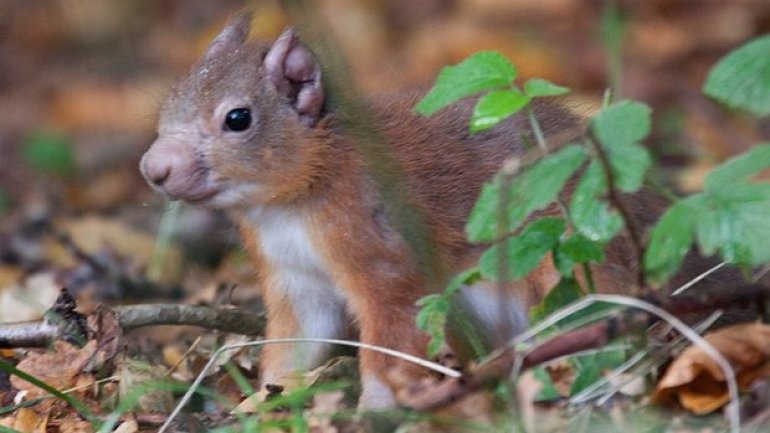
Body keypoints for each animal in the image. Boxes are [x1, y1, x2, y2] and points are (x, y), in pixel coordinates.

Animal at [141, 15, 640, 406]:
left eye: (238, 118)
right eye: (170, 100)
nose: (154, 168)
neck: (288, 206)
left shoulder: (385, 256)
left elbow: (390, 342)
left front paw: (376, 406)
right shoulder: (296, 282)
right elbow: (293, 346)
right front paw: (262, 403)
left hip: (567, 270)